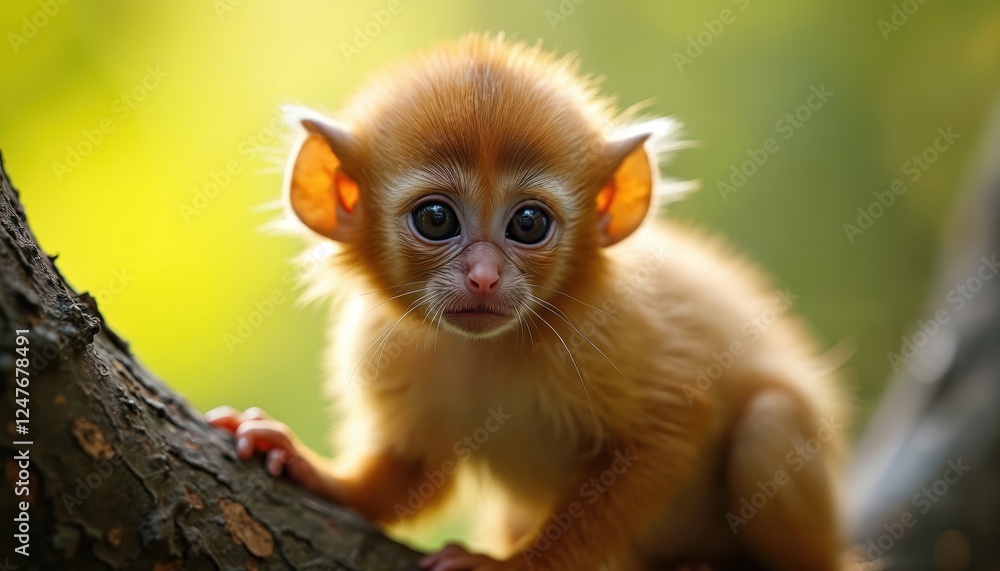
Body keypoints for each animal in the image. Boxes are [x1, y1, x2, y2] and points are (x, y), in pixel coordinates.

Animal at [207, 34, 848, 571]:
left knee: (770, 423)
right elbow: (415, 472)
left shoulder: (607, 331)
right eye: (436, 219)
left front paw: (514, 567)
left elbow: (664, 435)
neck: (489, 348)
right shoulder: (385, 344)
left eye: (529, 223)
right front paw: (308, 468)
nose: (485, 279)